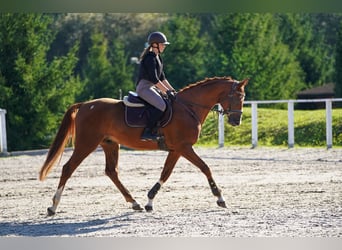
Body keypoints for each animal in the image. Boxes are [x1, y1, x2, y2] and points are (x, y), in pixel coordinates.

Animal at [39, 76, 248, 215]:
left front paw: (149, 200)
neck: (189, 107)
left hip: (110, 144)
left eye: (243, 98)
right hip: (86, 144)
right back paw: (53, 206)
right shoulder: (184, 147)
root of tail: (84, 105)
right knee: (68, 168)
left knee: (111, 172)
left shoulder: (176, 149)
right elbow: (205, 167)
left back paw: (135, 203)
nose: (236, 121)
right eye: (237, 97)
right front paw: (220, 198)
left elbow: (166, 172)